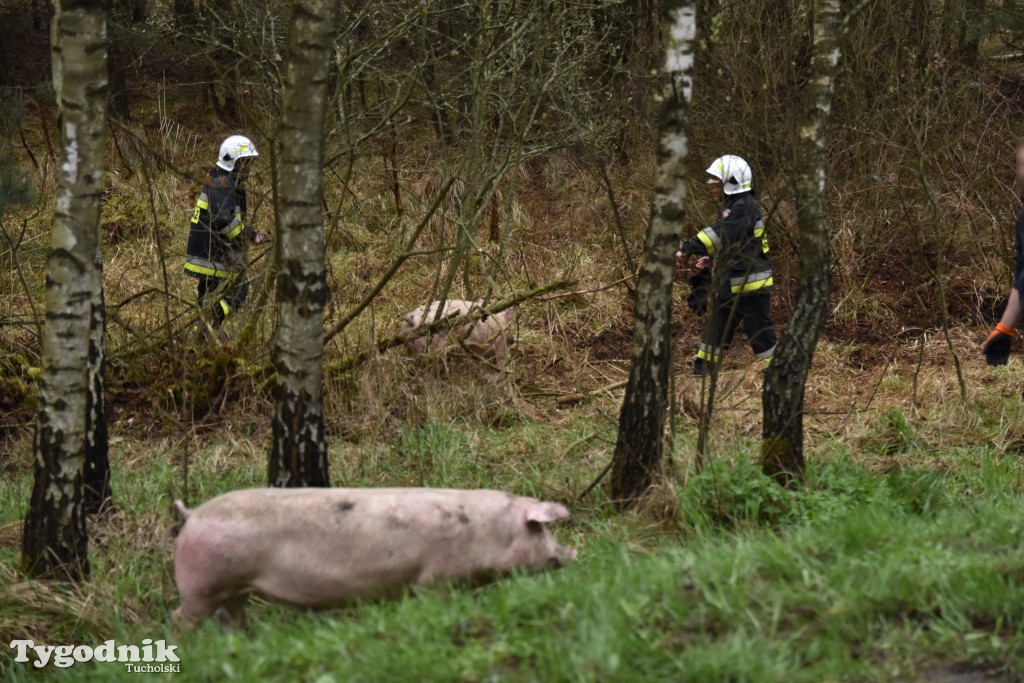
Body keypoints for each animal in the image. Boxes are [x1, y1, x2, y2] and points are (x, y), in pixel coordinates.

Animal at [169, 485, 577, 630]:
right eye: (541, 530)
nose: (572, 554)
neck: (486, 532)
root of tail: (192, 515)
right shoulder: (435, 578)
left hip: (232, 589)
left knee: (231, 617)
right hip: (202, 585)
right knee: (179, 617)